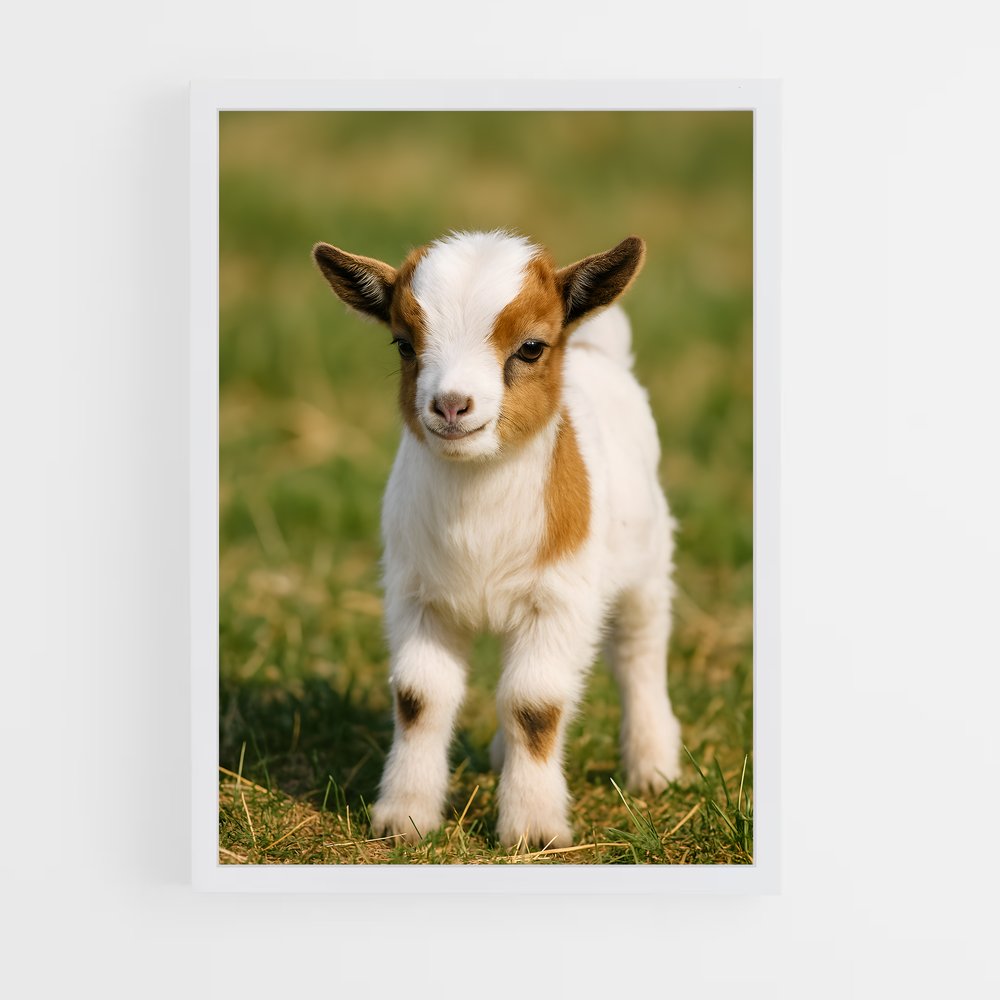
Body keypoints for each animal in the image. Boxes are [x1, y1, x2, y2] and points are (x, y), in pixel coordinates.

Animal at [313, 230, 681, 849]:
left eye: (531, 347)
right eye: (403, 344)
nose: (451, 405)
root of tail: (598, 350)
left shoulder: (559, 599)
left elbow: (536, 705)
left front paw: (533, 829)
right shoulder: (418, 595)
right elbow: (420, 698)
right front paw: (405, 818)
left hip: (647, 560)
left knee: (639, 649)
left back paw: (654, 766)